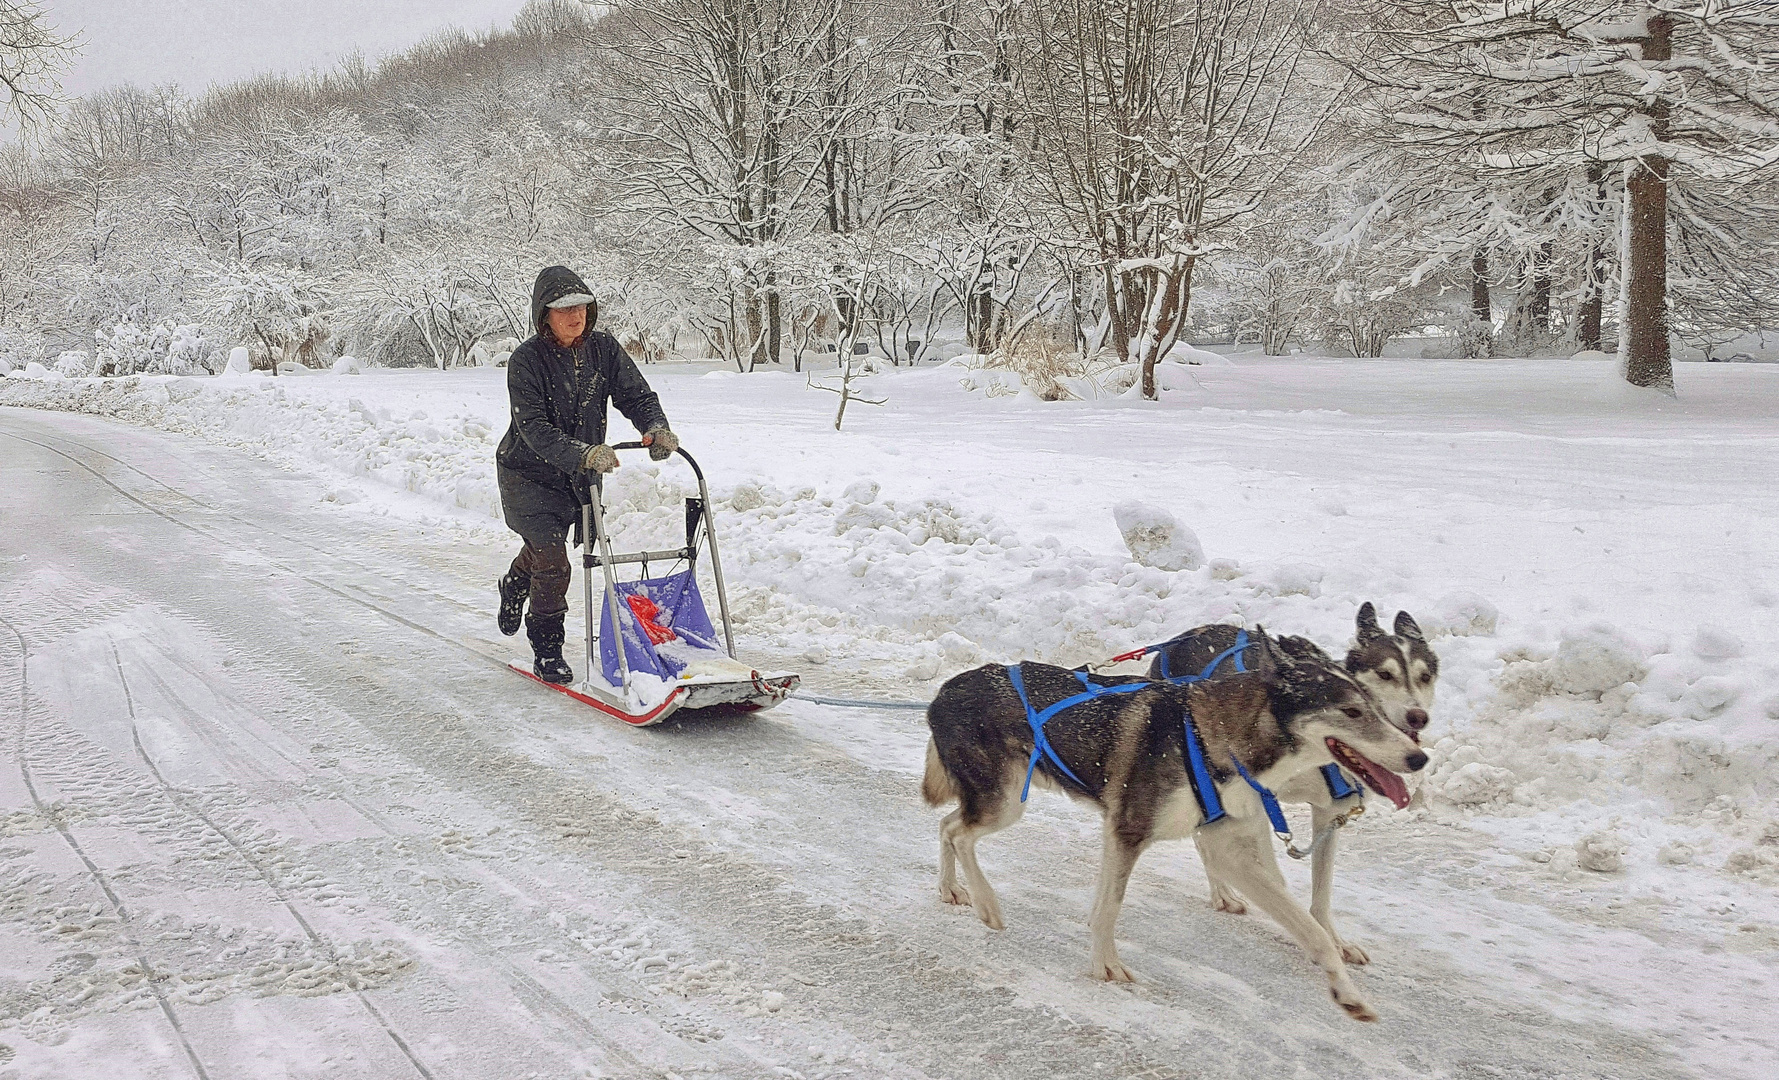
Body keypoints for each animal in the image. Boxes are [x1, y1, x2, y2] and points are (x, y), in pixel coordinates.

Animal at [925, 629, 1423, 1017]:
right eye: (1352, 712)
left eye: (1378, 706)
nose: (1419, 757)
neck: (1214, 739)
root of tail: (944, 690)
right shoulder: (1128, 831)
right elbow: (1108, 908)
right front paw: (1105, 964)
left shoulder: (1228, 847)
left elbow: (1311, 928)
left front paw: (1346, 992)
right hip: (1004, 802)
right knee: (958, 833)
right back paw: (986, 903)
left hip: (998, 802)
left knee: (947, 825)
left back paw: (952, 889)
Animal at [1145, 604, 1437, 967]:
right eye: (1385, 675)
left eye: (1425, 676)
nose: (1417, 717)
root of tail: (1181, 638)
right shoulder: (1257, 801)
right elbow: (1273, 876)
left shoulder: (1329, 814)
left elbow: (1322, 890)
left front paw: (1332, 940)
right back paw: (1222, 891)